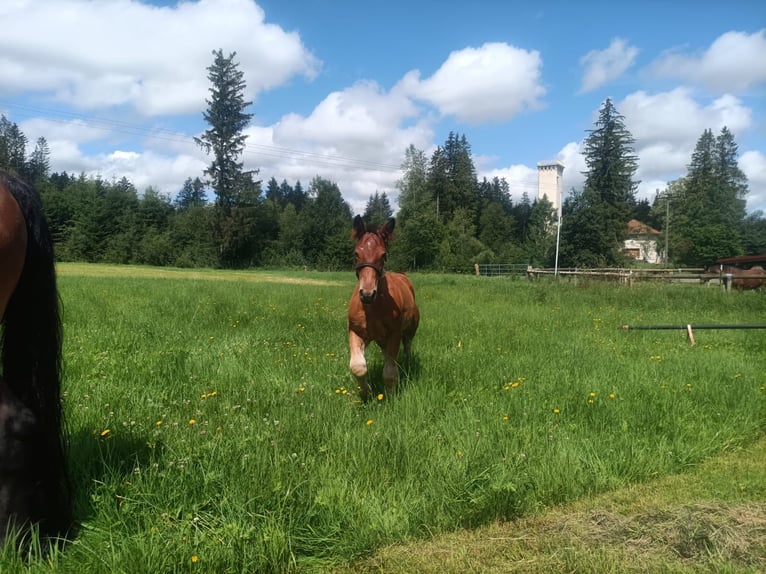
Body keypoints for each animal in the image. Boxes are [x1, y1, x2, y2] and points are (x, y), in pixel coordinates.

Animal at [348, 215, 420, 400]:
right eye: (356, 253)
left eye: (383, 254)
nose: (367, 294)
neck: (372, 308)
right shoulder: (356, 332)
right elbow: (358, 366)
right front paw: (366, 392)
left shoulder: (395, 334)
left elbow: (390, 372)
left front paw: (390, 396)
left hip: (410, 330)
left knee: (407, 346)